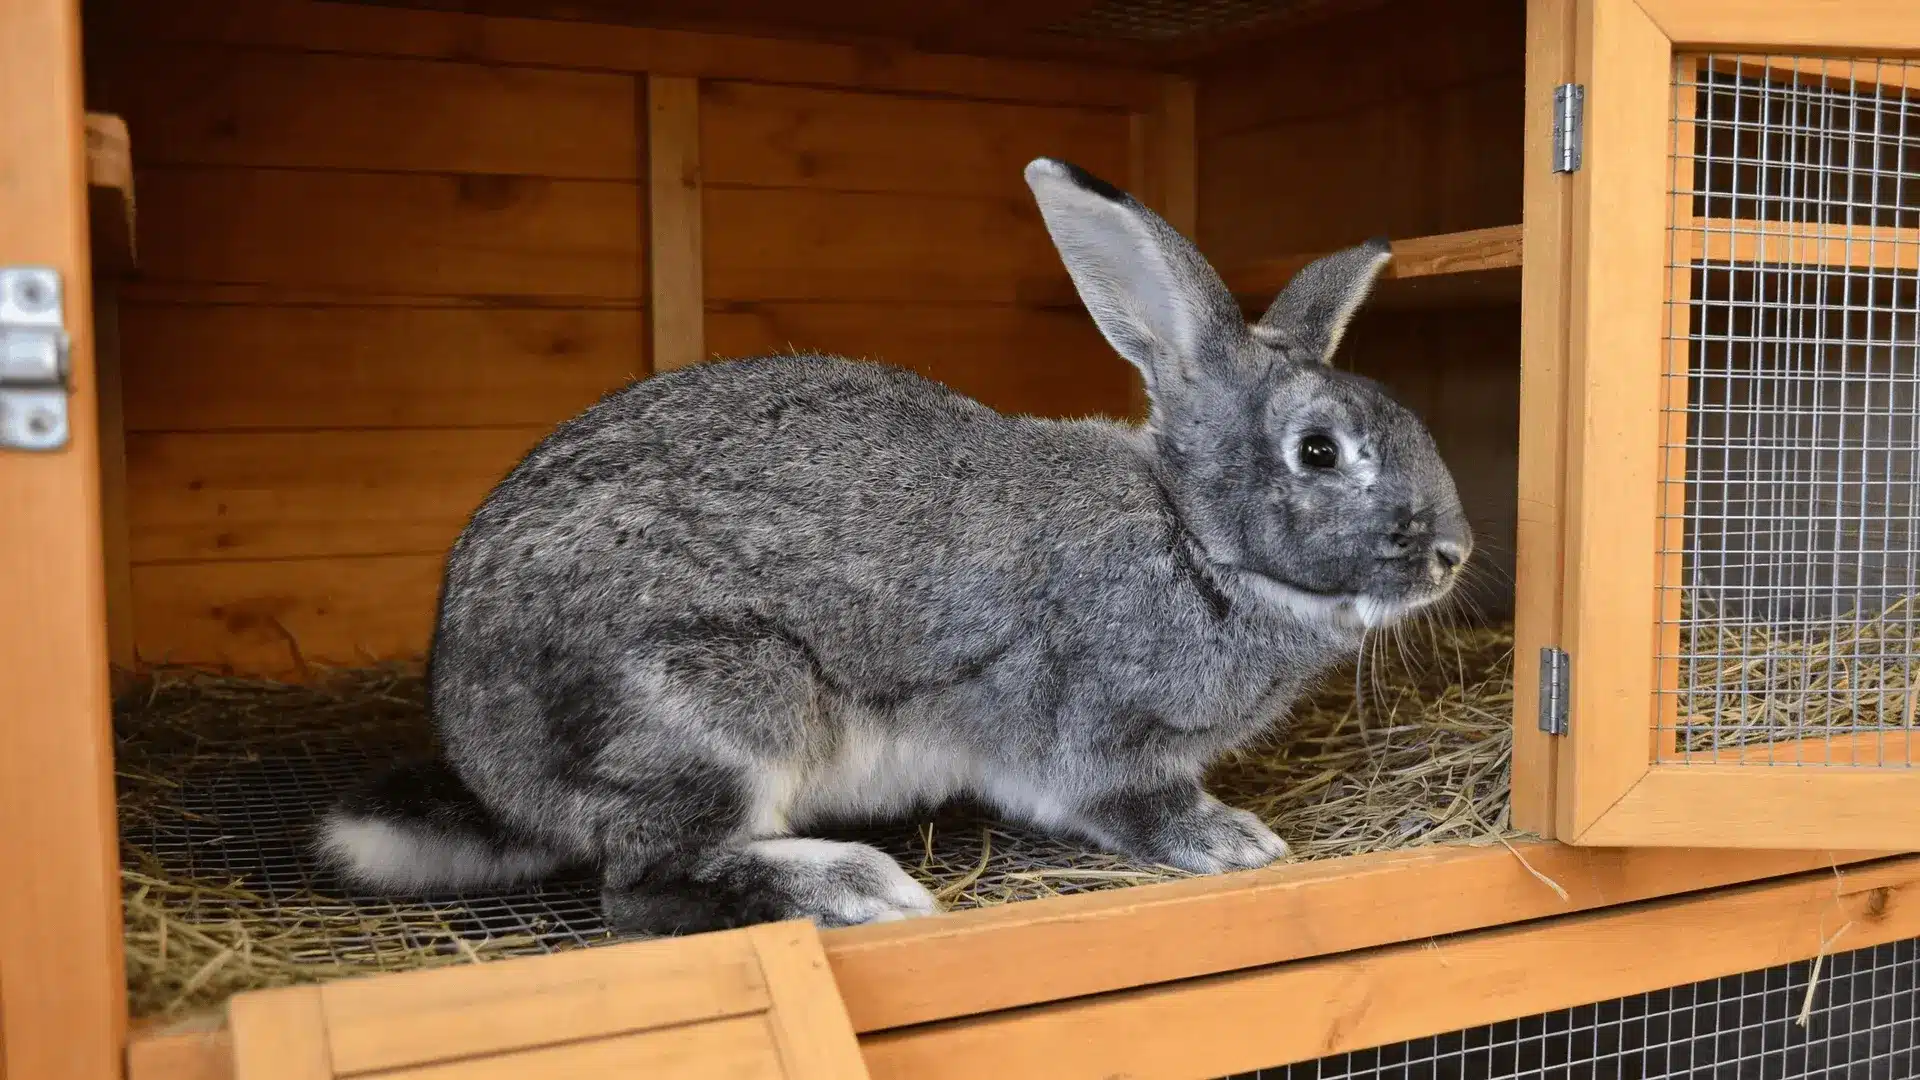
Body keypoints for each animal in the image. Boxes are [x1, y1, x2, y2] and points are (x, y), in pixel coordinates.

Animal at [315, 157, 1472, 934]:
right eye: (1319, 450)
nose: (1454, 552)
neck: (1191, 537)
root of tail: (492, 771)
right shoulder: (1094, 731)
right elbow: (1131, 800)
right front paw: (1236, 839)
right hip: (717, 709)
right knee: (642, 889)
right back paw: (856, 886)